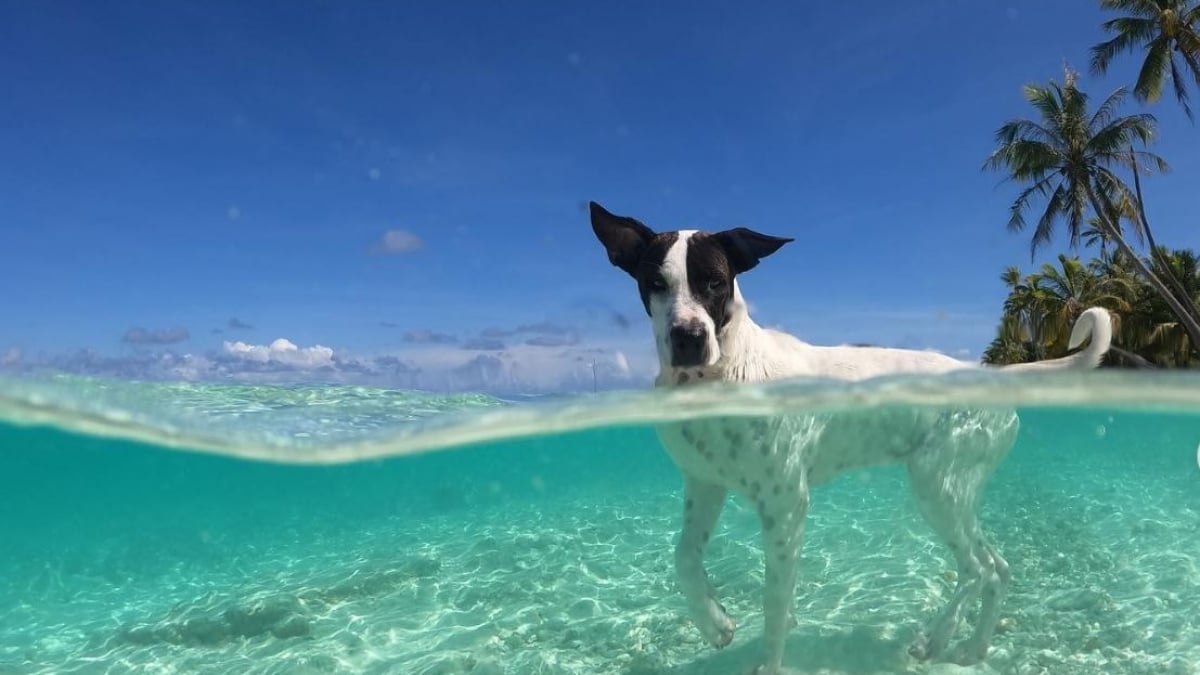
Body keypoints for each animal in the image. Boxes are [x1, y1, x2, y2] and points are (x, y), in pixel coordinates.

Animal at [585, 200, 1108, 672]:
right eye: (654, 283)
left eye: (714, 281)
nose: (688, 338)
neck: (724, 373)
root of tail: (995, 375)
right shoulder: (704, 485)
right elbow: (685, 559)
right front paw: (715, 623)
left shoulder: (786, 507)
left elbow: (774, 602)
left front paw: (768, 662)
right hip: (955, 493)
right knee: (996, 570)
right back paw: (971, 648)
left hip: (938, 488)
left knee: (975, 571)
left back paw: (936, 639)